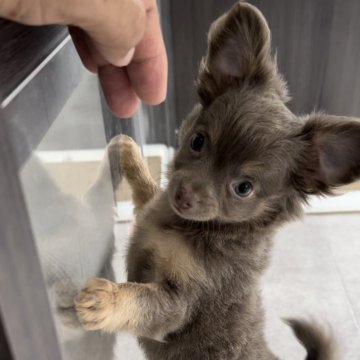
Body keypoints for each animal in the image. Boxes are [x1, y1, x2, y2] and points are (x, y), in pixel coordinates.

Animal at [74, 1, 358, 358]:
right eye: (198, 141)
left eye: (243, 188)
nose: (183, 195)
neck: (187, 226)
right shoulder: (151, 208)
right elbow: (147, 189)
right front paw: (129, 152)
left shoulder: (177, 303)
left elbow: (140, 298)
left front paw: (106, 300)